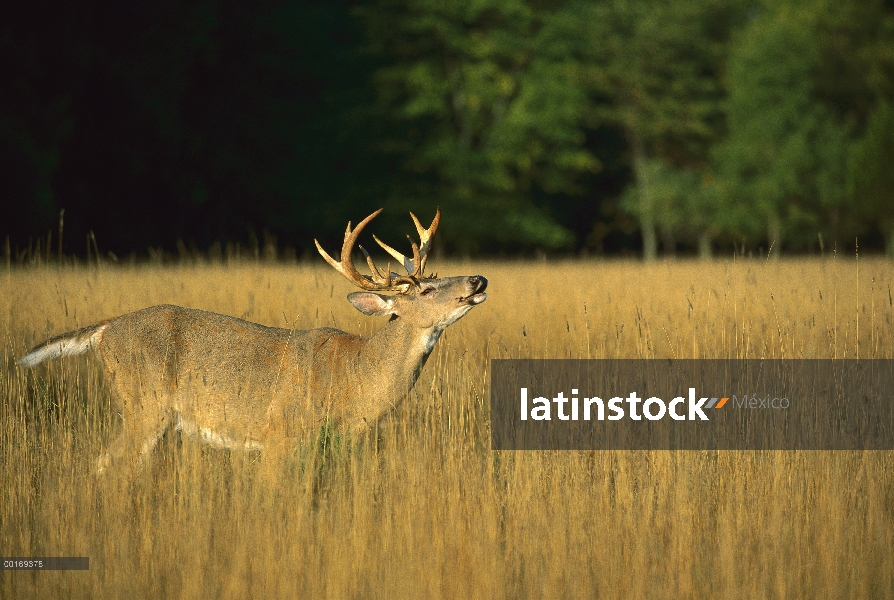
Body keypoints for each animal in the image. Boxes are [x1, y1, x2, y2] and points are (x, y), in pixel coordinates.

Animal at [15, 209, 490, 476]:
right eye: (425, 290)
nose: (477, 279)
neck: (354, 379)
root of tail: (106, 330)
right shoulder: (279, 437)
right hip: (142, 406)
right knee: (104, 467)